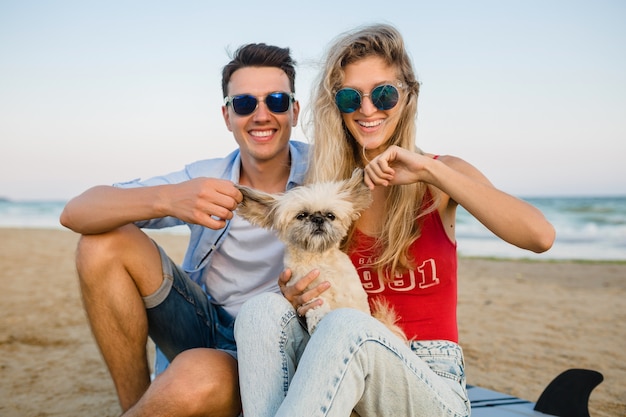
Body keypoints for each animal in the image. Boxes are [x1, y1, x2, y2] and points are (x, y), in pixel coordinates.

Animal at [234, 167, 404, 340]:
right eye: (301, 215)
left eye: (330, 215)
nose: (318, 219)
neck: (318, 258)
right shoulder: (306, 289)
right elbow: (316, 303)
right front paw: (317, 318)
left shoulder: (353, 295)